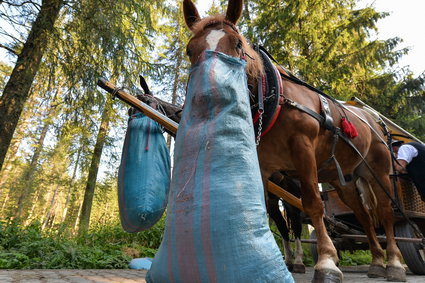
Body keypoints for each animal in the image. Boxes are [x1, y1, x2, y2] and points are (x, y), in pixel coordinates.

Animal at [179, 1, 404, 282]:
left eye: (238, 44)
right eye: (190, 49)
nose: (209, 95)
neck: (272, 99)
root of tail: (373, 119)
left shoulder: (302, 147)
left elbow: (313, 204)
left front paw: (327, 262)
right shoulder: (263, 166)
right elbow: (265, 211)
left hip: (378, 171)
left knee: (385, 212)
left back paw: (394, 262)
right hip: (345, 179)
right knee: (363, 215)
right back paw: (375, 261)